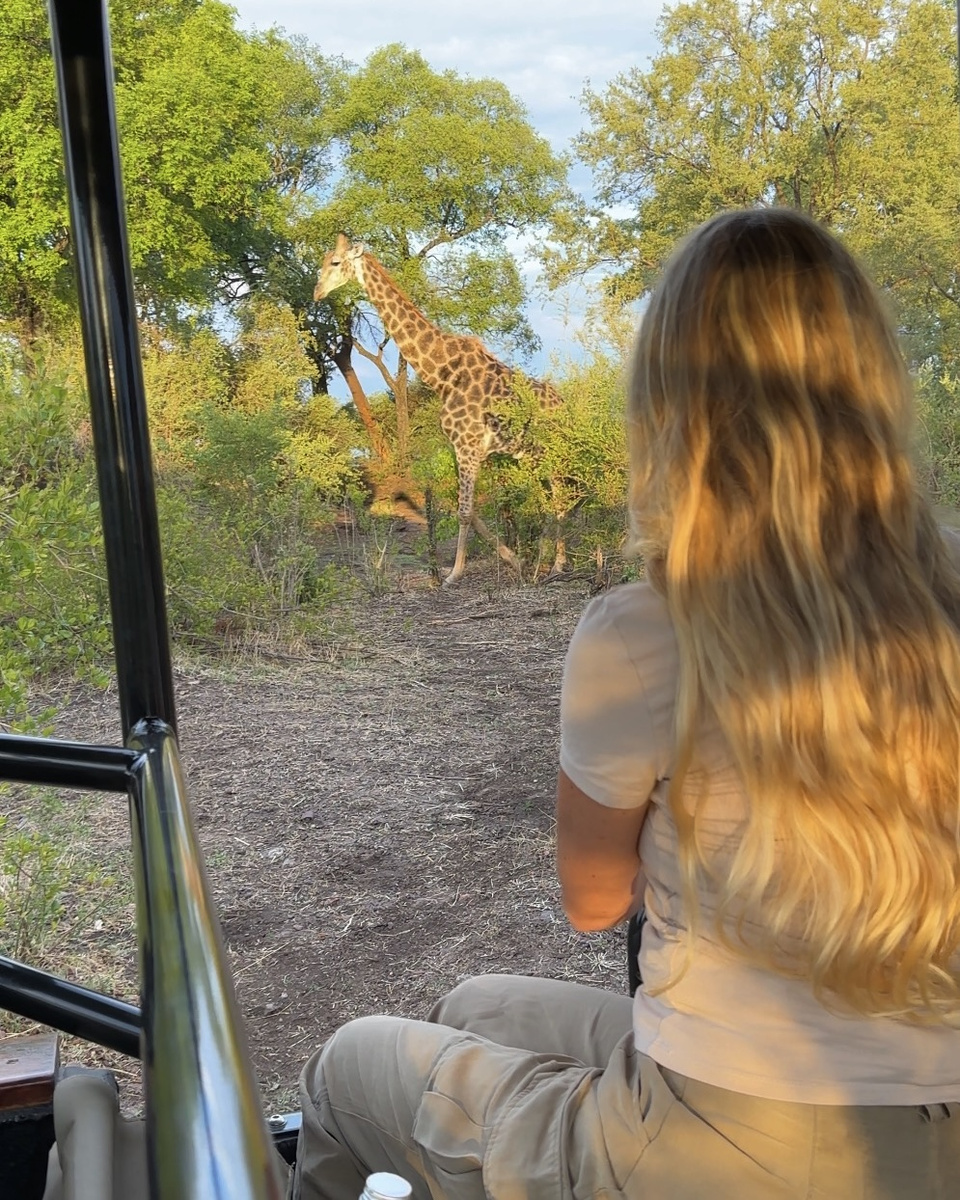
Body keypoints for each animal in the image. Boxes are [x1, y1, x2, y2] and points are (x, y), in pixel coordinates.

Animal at [315, 234, 564, 585]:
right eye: (322, 262)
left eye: (335, 262)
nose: (317, 292)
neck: (443, 373)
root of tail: (563, 405)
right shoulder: (465, 448)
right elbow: (472, 510)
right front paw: (515, 560)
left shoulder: (467, 445)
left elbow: (464, 511)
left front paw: (454, 574)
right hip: (531, 454)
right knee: (553, 497)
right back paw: (550, 561)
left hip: (545, 452)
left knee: (559, 496)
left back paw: (557, 564)